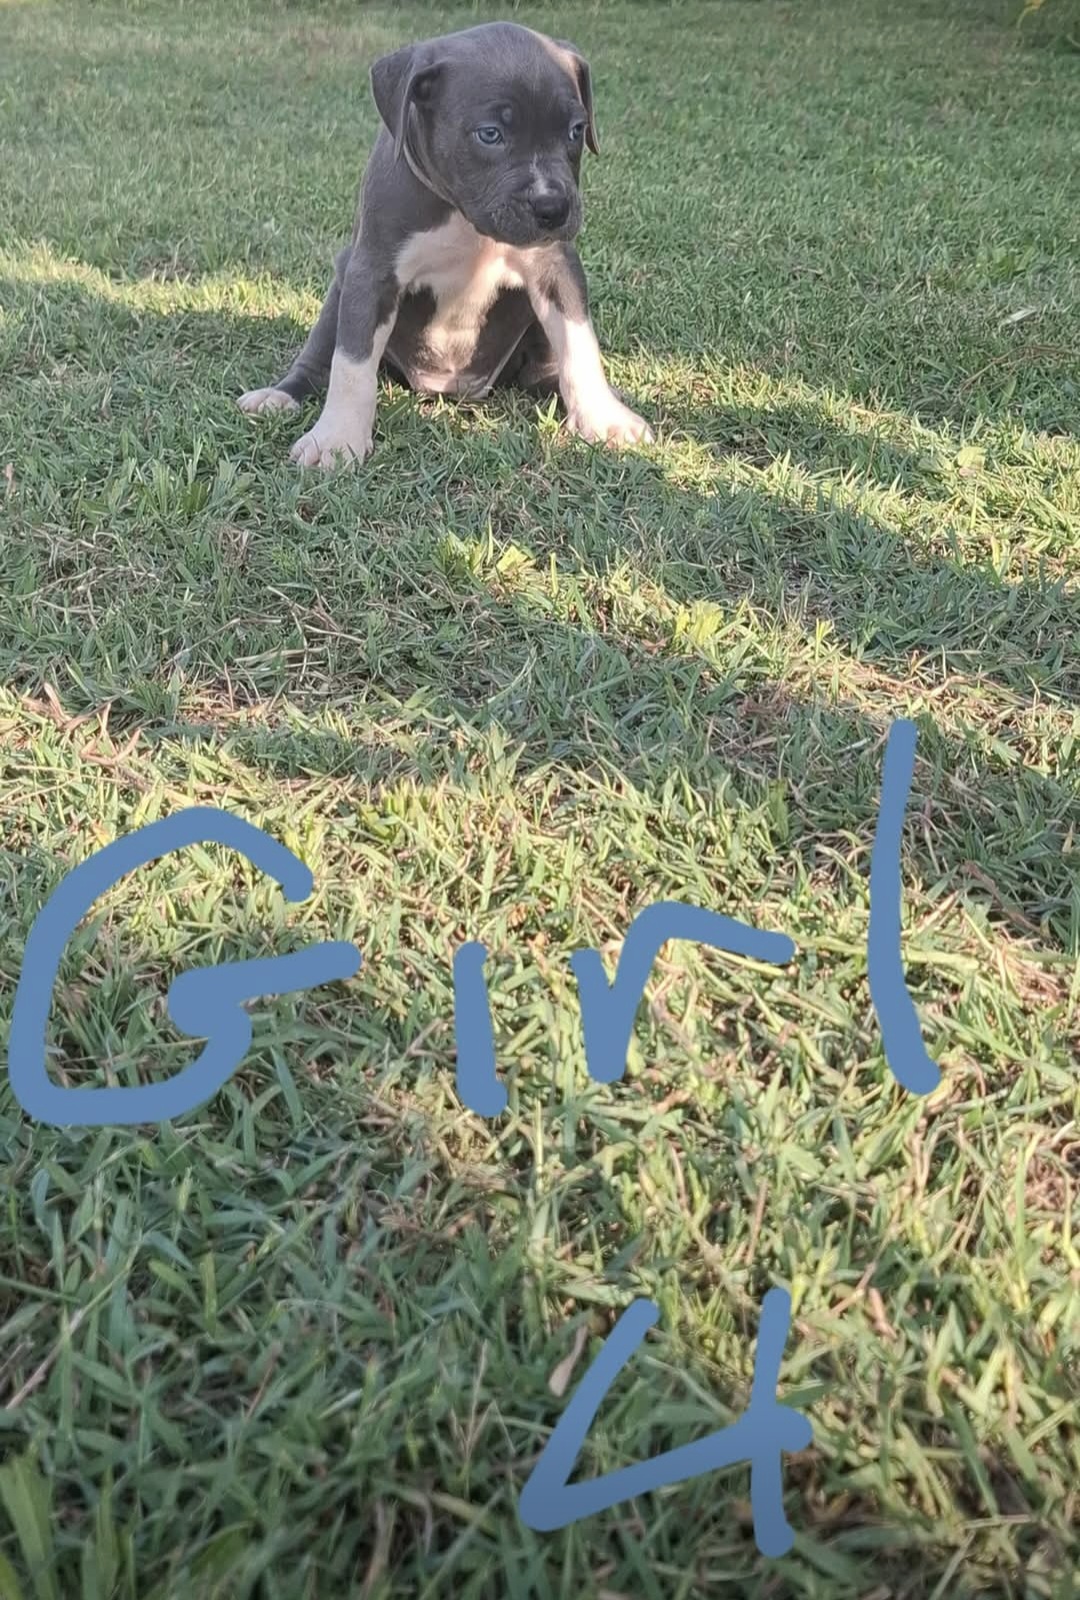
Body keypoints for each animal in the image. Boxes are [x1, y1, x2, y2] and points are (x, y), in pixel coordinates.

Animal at [237, 21, 654, 468]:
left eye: (576, 130)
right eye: (490, 135)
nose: (553, 207)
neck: (464, 219)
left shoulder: (556, 269)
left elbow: (579, 345)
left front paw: (603, 417)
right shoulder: (371, 273)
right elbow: (351, 364)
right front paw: (337, 437)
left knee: (543, 370)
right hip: (338, 289)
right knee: (319, 359)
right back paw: (280, 395)